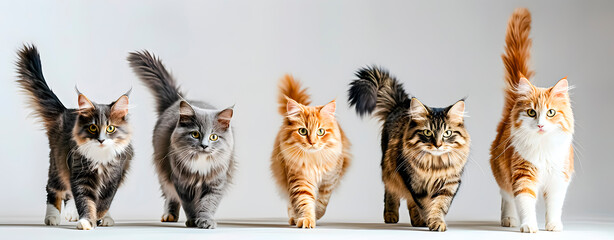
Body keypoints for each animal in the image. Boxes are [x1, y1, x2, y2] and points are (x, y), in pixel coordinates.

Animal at [16, 45, 134, 231]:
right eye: (93, 127)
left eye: (110, 128)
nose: (101, 140)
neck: (100, 158)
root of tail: (66, 111)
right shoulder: (80, 172)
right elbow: (85, 199)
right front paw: (87, 220)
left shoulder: (114, 177)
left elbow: (104, 201)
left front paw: (98, 216)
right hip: (57, 163)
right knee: (54, 188)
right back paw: (52, 217)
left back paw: (101, 217)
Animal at [127, 50, 236, 229]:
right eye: (195, 134)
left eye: (213, 137)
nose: (204, 145)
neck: (200, 164)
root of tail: (176, 101)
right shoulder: (181, 182)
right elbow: (188, 204)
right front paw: (192, 220)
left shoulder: (216, 182)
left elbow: (208, 204)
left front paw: (205, 221)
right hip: (163, 171)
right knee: (170, 195)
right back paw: (169, 215)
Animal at [270, 74, 352, 229]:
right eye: (303, 131)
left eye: (321, 132)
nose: (312, 142)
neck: (315, 160)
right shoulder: (299, 179)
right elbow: (304, 202)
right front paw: (306, 219)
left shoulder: (329, 181)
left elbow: (321, 203)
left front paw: (316, 215)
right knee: (290, 205)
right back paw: (293, 218)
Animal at [348, 66, 474, 232]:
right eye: (428, 132)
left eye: (447, 133)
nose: (438, 144)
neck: (435, 164)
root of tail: (400, 105)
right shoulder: (414, 183)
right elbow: (423, 205)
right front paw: (428, 220)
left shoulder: (449, 184)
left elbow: (439, 205)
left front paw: (436, 222)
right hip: (390, 170)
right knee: (391, 192)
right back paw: (392, 216)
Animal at [494, 8, 576, 233]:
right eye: (531, 112)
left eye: (550, 113)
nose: (540, 124)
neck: (543, 147)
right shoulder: (523, 175)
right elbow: (525, 203)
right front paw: (529, 226)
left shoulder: (559, 177)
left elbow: (554, 206)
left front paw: (553, 225)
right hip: (503, 174)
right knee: (506, 197)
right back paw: (509, 219)